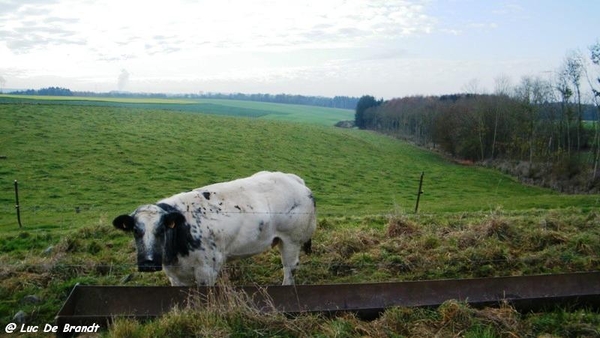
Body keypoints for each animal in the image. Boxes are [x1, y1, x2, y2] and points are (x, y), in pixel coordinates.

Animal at [113, 172, 318, 286]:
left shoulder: (207, 270)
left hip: (291, 241)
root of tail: (293, 179)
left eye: (161, 229)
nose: (148, 263)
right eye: (135, 231)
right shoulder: (176, 276)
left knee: (289, 269)